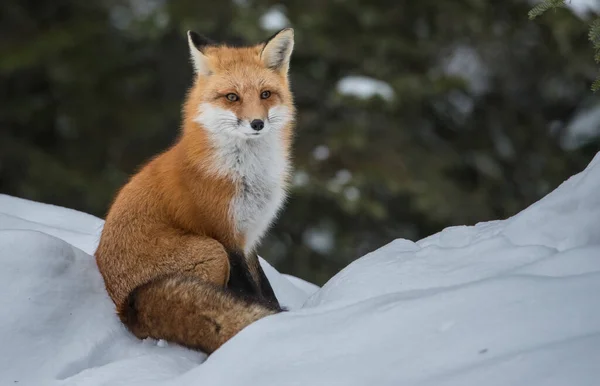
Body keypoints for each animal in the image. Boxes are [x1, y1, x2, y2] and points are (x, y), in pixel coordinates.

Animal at [94, 28, 298, 354]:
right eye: (232, 97)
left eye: (265, 94)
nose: (257, 123)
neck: (244, 173)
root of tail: (124, 308)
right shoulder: (224, 236)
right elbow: (251, 292)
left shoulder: (249, 237)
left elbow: (265, 289)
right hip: (211, 252)